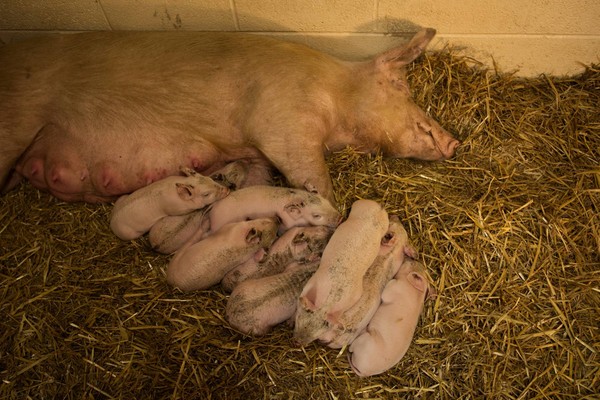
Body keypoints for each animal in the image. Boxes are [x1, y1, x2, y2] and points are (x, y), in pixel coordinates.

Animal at [294, 200, 390, 344]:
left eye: (316, 336)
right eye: (302, 315)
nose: (297, 342)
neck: (330, 301)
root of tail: (379, 208)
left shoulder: (355, 294)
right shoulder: (313, 280)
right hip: (361, 205)